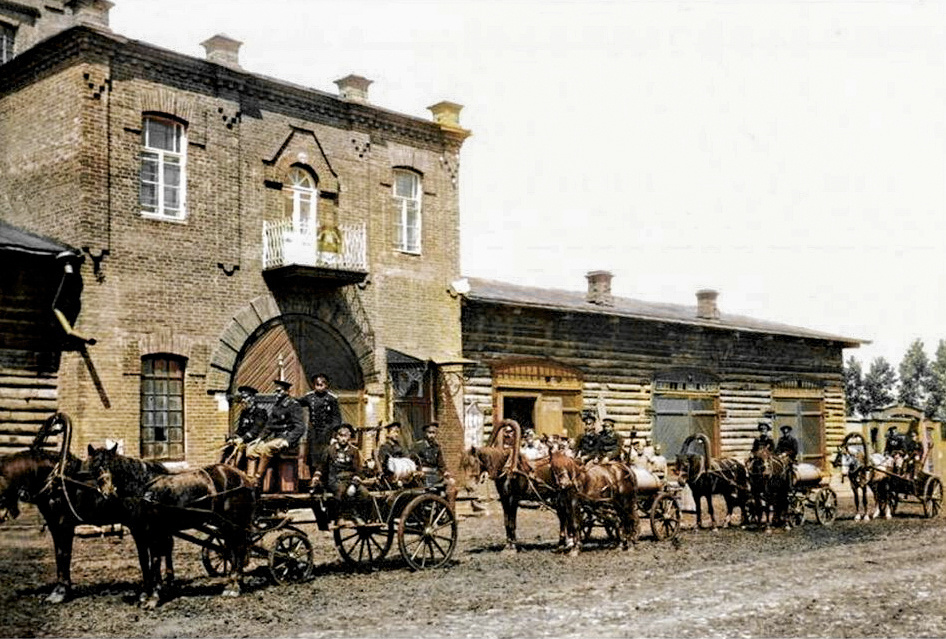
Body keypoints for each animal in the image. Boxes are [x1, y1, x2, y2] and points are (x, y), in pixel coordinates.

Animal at [0, 416, 149, 604]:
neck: (57, 481)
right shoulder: (55, 526)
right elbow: (59, 554)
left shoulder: (65, 525)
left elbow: (64, 554)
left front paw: (60, 592)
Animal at [87, 442, 256, 608]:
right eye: (94, 466)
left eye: (113, 465)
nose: (109, 493)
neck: (143, 489)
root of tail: (242, 476)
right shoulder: (139, 534)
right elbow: (144, 562)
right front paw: (146, 594)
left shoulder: (155, 532)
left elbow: (155, 561)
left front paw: (154, 597)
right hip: (226, 524)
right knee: (232, 548)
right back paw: (234, 582)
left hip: (235, 521)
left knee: (239, 547)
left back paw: (234, 586)